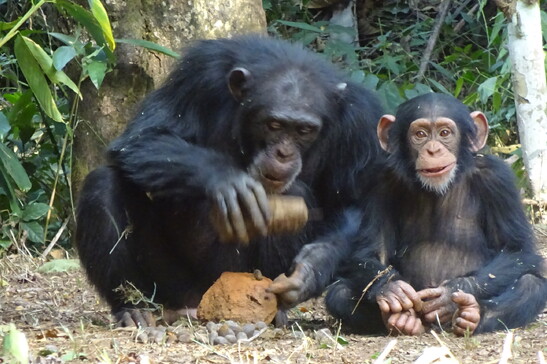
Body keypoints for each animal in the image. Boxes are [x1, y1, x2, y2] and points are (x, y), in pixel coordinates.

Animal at [77, 34, 386, 328]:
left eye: (304, 130)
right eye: (274, 124)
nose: (283, 153)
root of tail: (199, 303)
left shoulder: (360, 120)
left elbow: (353, 203)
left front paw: (311, 269)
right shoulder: (198, 74)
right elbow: (143, 137)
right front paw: (226, 181)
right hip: (170, 285)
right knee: (102, 185)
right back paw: (133, 308)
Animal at [328, 91, 544, 336]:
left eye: (444, 133)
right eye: (420, 134)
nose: (433, 150)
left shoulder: (498, 179)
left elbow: (517, 249)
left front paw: (450, 295)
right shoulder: (380, 180)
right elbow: (371, 251)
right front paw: (392, 288)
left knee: (531, 284)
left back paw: (472, 314)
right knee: (338, 292)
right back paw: (400, 320)